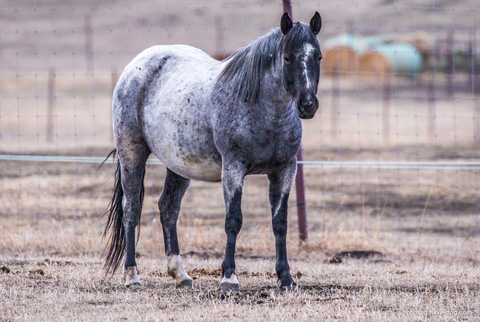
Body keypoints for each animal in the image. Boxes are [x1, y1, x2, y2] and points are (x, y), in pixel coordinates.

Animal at [104, 11, 322, 290]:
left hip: (178, 166)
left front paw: (286, 278)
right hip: (131, 153)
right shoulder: (233, 168)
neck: (263, 110)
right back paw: (131, 275)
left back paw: (180, 274)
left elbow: (280, 222)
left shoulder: (284, 170)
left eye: (318, 56)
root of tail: (134, 67)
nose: (308, 105)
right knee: (131, 208)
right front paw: (229, 277)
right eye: (287, 57)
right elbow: (233, 220)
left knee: (168, 208)